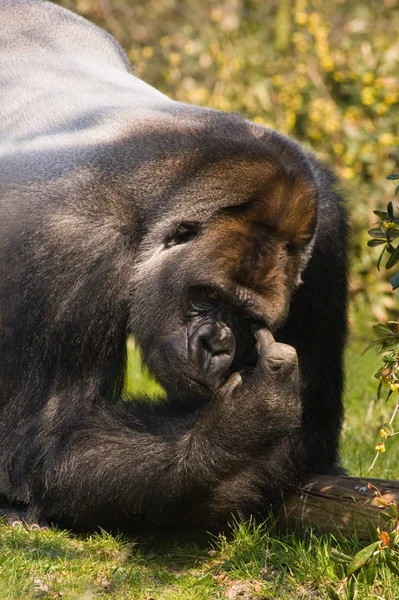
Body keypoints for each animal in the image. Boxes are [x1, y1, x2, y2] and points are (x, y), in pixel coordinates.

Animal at [0, 1, 348, 536]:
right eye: (207, 296)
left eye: (248, 319)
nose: (216, 347)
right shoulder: (67, 239)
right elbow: (52, 442)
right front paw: (243, 421)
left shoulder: (326, 238)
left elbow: (309, 433)